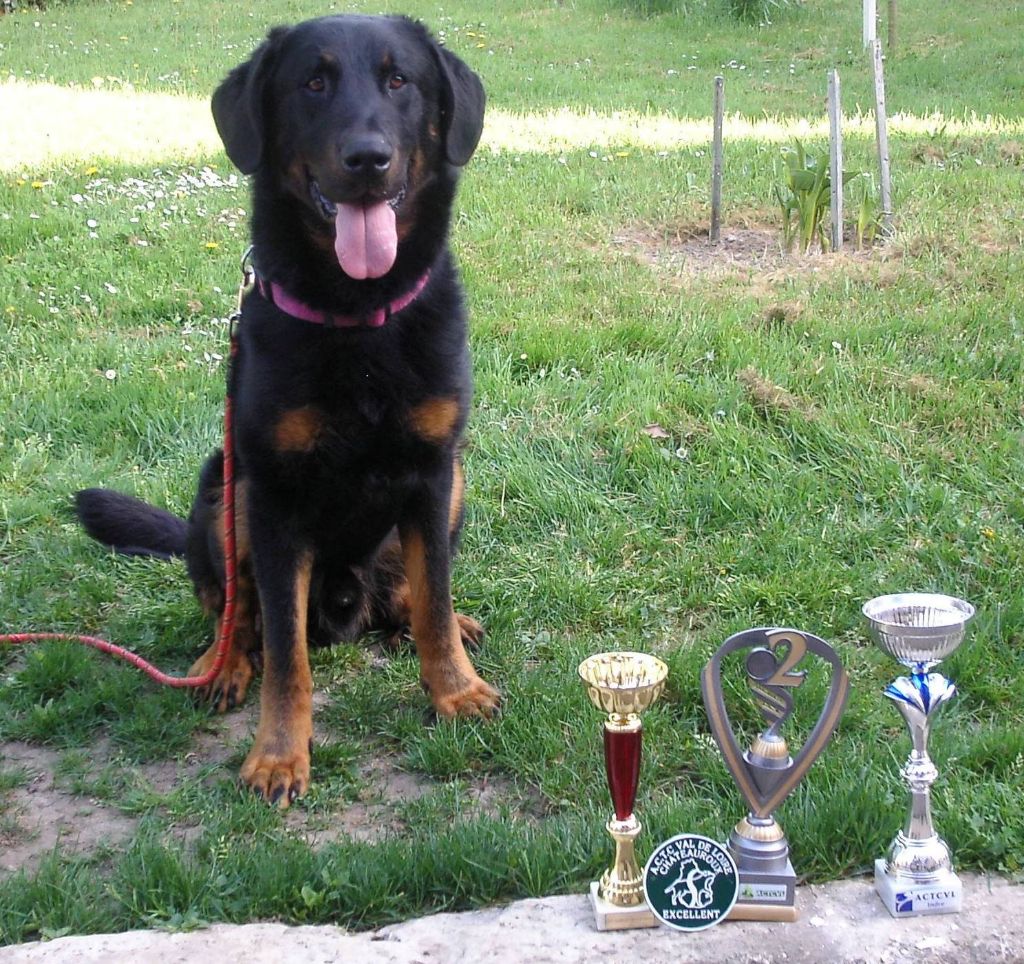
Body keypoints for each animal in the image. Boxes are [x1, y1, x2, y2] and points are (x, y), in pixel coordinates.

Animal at [75, 15, 499, 803]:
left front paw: (454, 689)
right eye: (314, 82)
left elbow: (432, 600)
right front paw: (278, 754)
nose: (367, 159)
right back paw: (221, 666)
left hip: (453, 487)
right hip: (223, 489)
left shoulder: (432, 474)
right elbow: (285, 653)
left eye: (400, 80)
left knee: (407, 597)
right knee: (233, 610)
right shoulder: (272, 495)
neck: (357, 317)